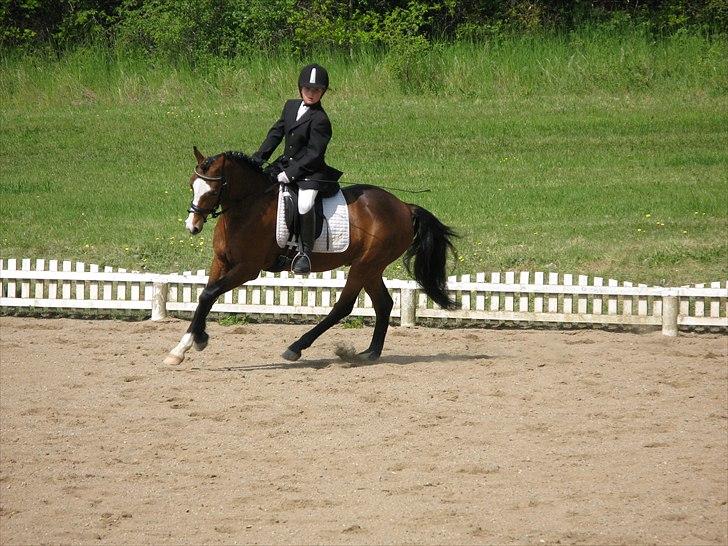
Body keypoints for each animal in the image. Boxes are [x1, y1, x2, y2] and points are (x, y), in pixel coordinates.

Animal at [163, 147, 457, 366]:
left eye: (213, 191)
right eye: (192, 186)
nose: (192, 226)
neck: (247, 207)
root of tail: (404, 207)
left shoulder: (248, 268)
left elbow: (209, 294)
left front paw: (193, 342)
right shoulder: (221, 262)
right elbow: (206, 296)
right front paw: (187, 344)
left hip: (364, 265)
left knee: (343, 307)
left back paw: (297, 347)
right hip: (371, 267)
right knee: (383, 304)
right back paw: (370, 353)